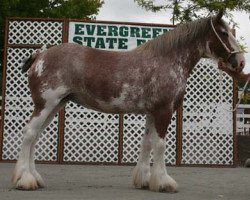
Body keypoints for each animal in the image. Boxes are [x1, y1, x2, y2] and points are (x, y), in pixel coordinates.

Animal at [12, 10, 245, 192]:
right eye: (224, 33)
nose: (241, 61)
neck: (166, 61)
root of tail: (40, 54)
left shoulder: (152, 113)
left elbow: (147, 143)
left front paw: (144, 180)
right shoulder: (163, 111)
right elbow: (160, 145)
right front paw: (164, 182)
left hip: (55, 105)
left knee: (35, 137)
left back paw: (34, 178)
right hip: (46, 105)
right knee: (30, 134)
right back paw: (25, 180)